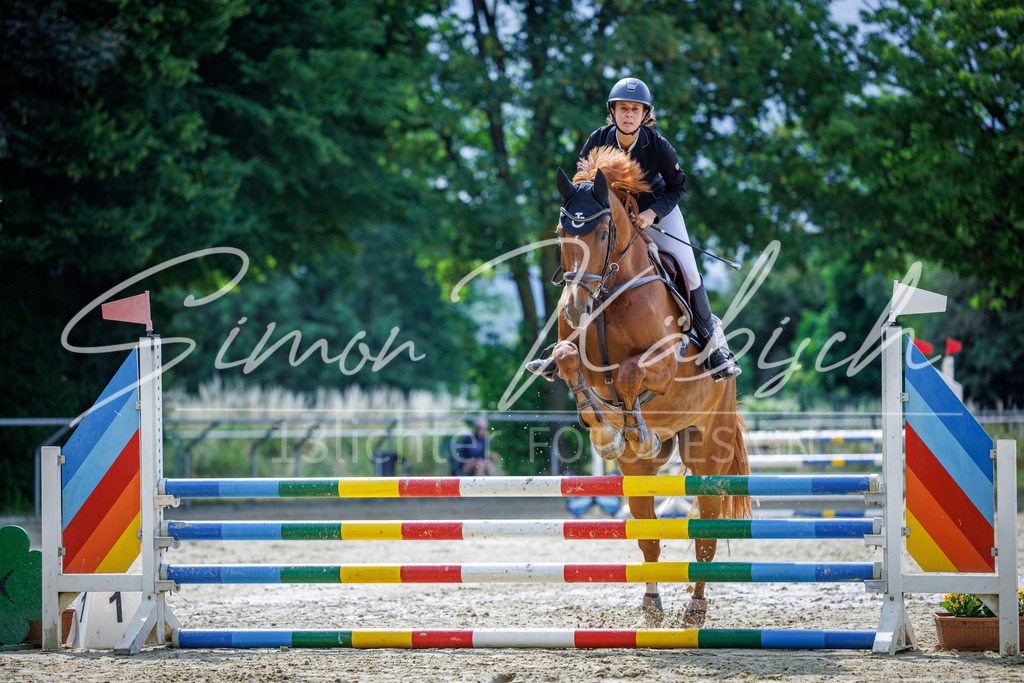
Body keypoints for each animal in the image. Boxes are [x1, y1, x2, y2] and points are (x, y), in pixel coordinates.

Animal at [549, 146, 750, 626]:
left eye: (604, 232)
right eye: (562, 233)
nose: (575, 308)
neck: (608, 292)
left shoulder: (663, 363)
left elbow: (629, 373)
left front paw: (627, 428)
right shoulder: (574, 353)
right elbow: (568, 359)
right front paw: (605, 430)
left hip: (707, 456)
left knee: (706, 535)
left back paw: (695, 609)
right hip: (640, 473)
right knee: (649, 538)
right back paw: (652, 604)